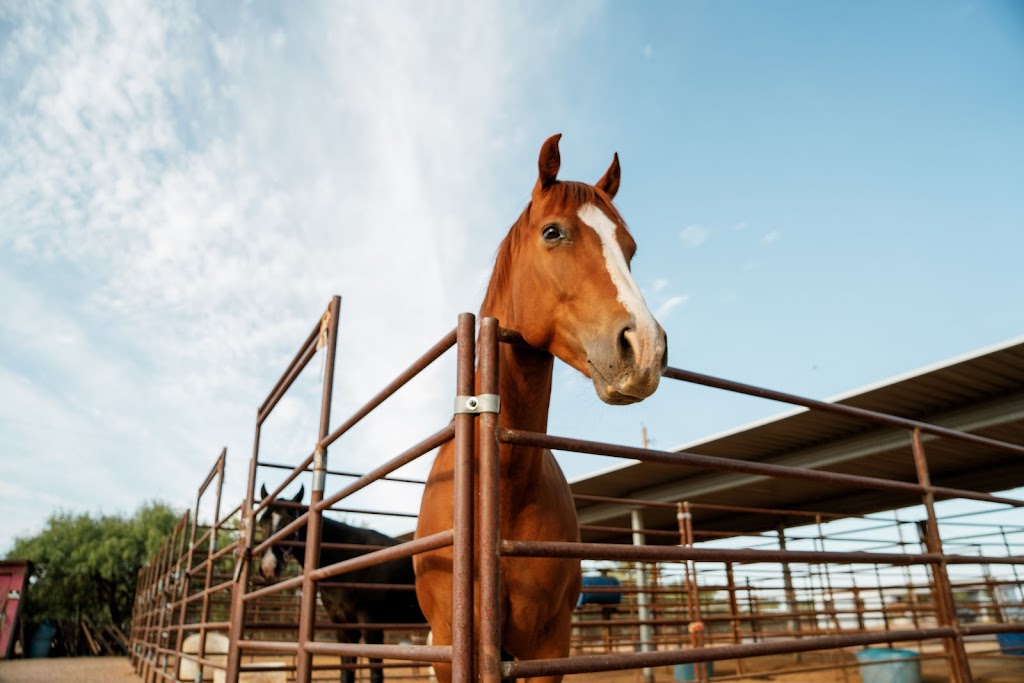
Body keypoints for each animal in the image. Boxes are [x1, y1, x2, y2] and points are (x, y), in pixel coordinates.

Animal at [262, 483, 430, 683]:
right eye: (262, 522)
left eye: (289, 521)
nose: (268, 567)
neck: (348, 559)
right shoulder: (343, 627)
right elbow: (346, 672)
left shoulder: (371, 624)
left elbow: (376, 673)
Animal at [411, 135, 667, 683]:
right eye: (553, 232)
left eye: (630, 249)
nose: (646, 348)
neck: (498, 491)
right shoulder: (450, 643)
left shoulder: (548, 644)